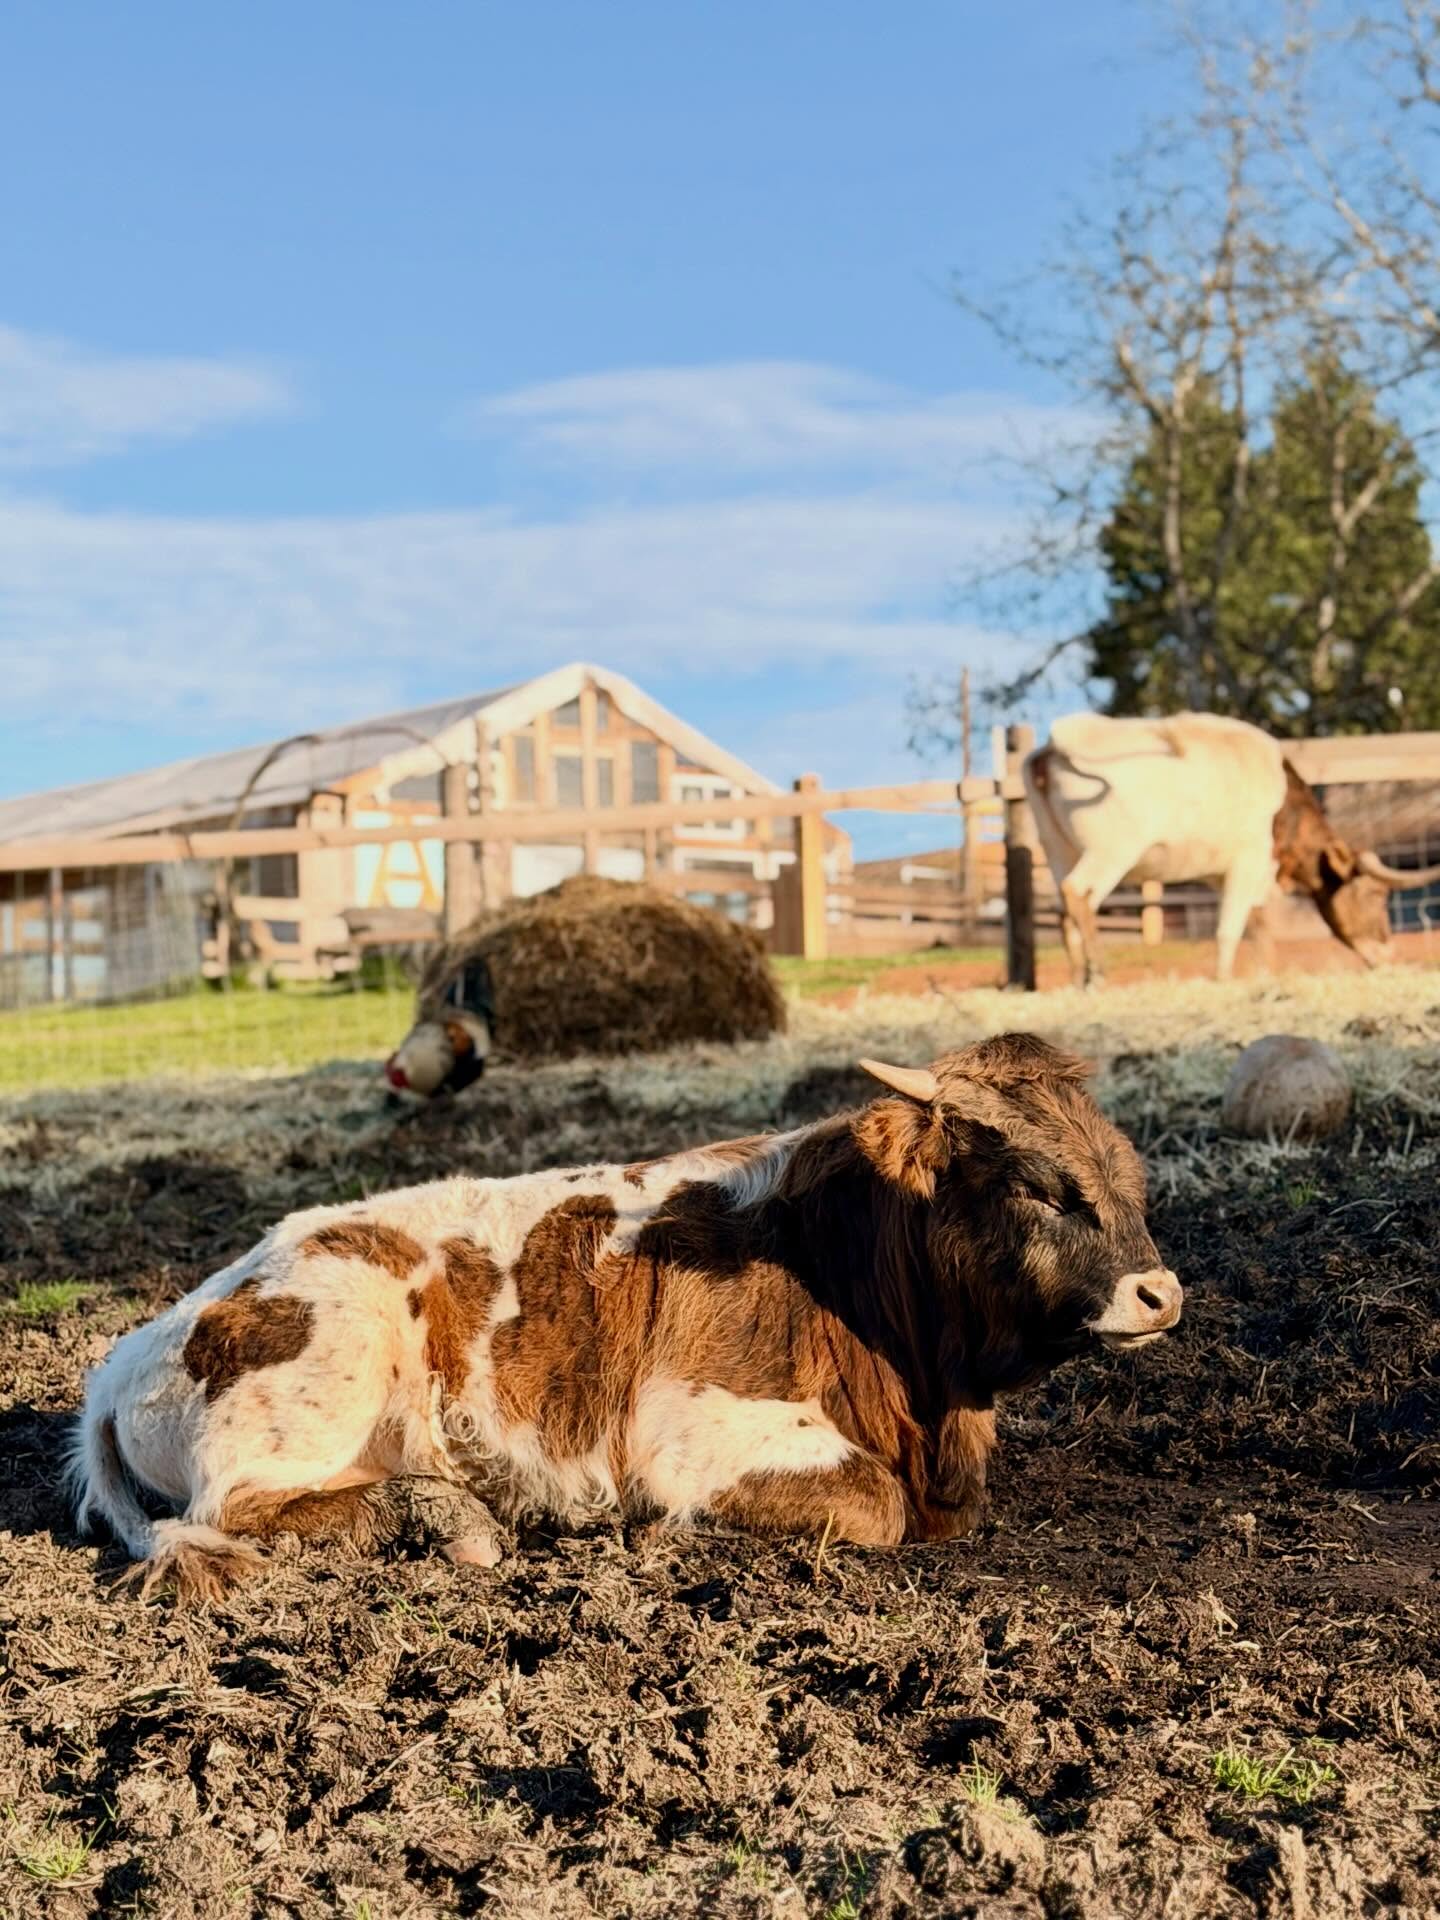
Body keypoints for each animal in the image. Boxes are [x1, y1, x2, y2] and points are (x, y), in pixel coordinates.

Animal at [70, 1034, 1182, 1603]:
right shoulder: (689, 1436)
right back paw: (452, 1519)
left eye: (1128, 1177)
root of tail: (127, 1356)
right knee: (232, 1508)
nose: (1161, 1293)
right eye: (1038, 1184)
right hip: (329, 1358)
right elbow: (874, 1505)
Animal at [1024, 712, 1440, 986]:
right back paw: (1099, 973)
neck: (1283, 806)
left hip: (1056, 847)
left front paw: (1266, 973)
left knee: (1064, 909)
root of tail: (1054, 747)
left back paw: (1079, 978)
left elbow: (1257, 922)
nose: (1390, 954)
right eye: (1376, 895)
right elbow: (1230, 927)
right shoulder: (1248, 860)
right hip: (1112, 850)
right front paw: (1225, 979)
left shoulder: (1230, 873)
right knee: (1078, 894)